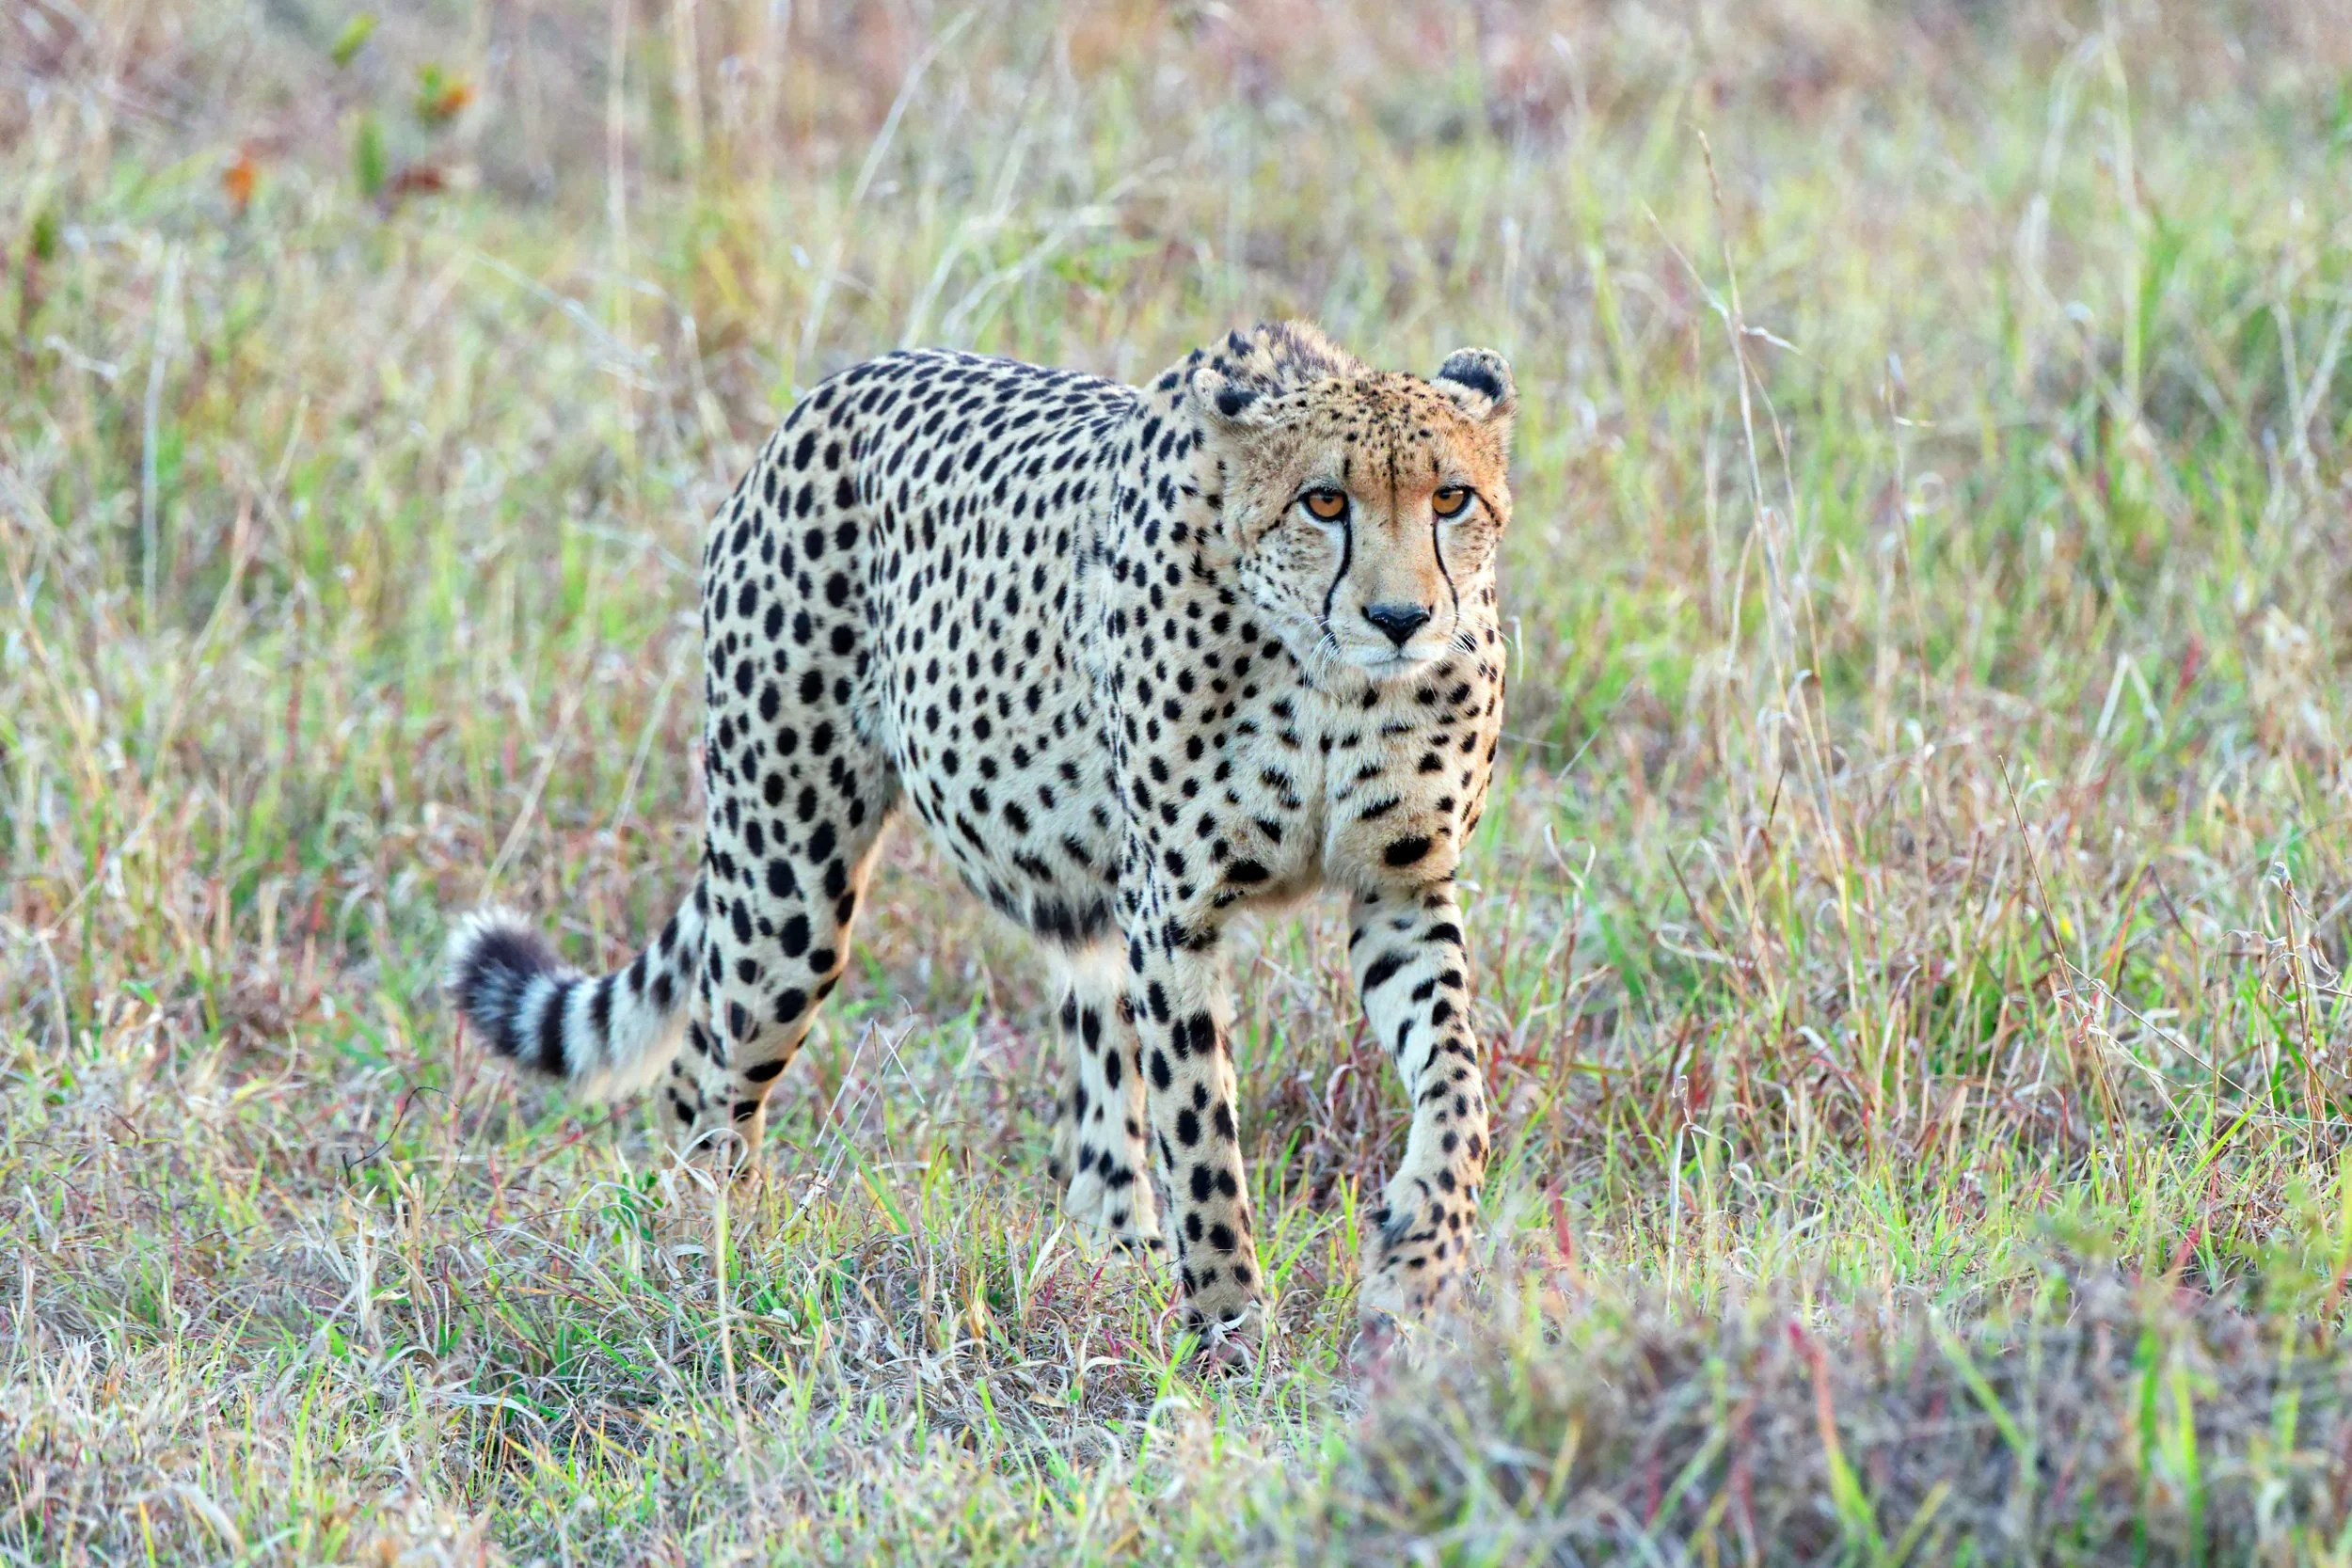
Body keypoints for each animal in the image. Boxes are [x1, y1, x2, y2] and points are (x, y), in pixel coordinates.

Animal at [442, 320, 1516, 1347]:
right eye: (1323, 502)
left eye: (1451, 498)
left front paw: (1417, 1258)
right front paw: (1228, 1329)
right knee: (702, 1069)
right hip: (787, 884)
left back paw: (1117, 1253)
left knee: (1095, 1089)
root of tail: (833, 390)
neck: (1332, 677)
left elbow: (1457, 1082)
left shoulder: (1401, 888)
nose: (1400, 616)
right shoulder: (1174, 911)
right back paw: (703, 1250)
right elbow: (1201, 1131)